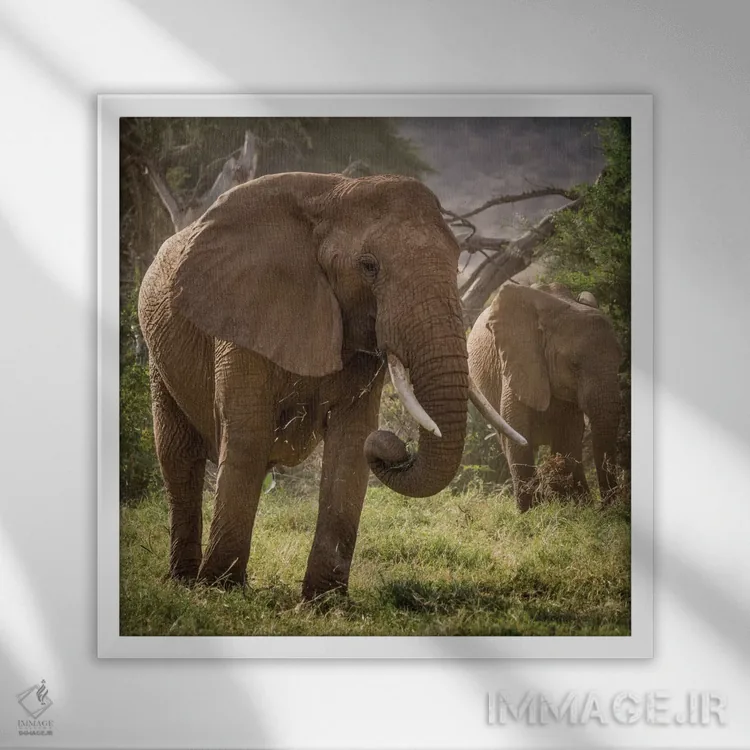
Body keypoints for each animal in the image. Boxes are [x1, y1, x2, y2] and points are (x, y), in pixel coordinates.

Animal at [138, 171, 524, 599]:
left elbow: (352, 440)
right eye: (369, 266)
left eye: (457, 261)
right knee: (178, 457)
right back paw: (184, 581)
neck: (334, 195)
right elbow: (248, 434)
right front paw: (220, 590)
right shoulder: (242, 313)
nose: (394, 445)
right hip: (159, 358)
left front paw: (323, 601)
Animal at [467, 281, 623, 512]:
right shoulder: (518, 363)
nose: (605, 507)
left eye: (620, 360)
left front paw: (572, 506)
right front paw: (530, 512)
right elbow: (518, 435)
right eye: (574, 365)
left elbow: (568, 438)